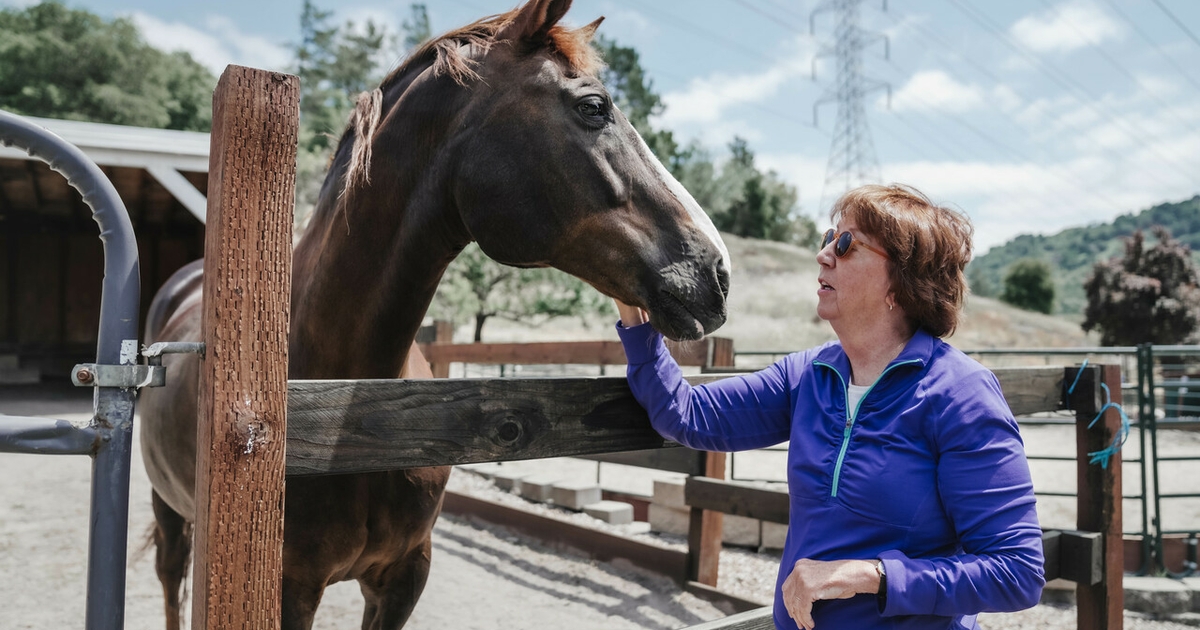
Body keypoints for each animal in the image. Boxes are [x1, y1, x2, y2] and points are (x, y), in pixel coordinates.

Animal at [137, 1, 731, 628]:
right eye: (593, 107)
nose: (717, 271)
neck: (349, 413)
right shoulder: (289, 589)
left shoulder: (404, 577)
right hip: (169, 508)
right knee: (172, 577)